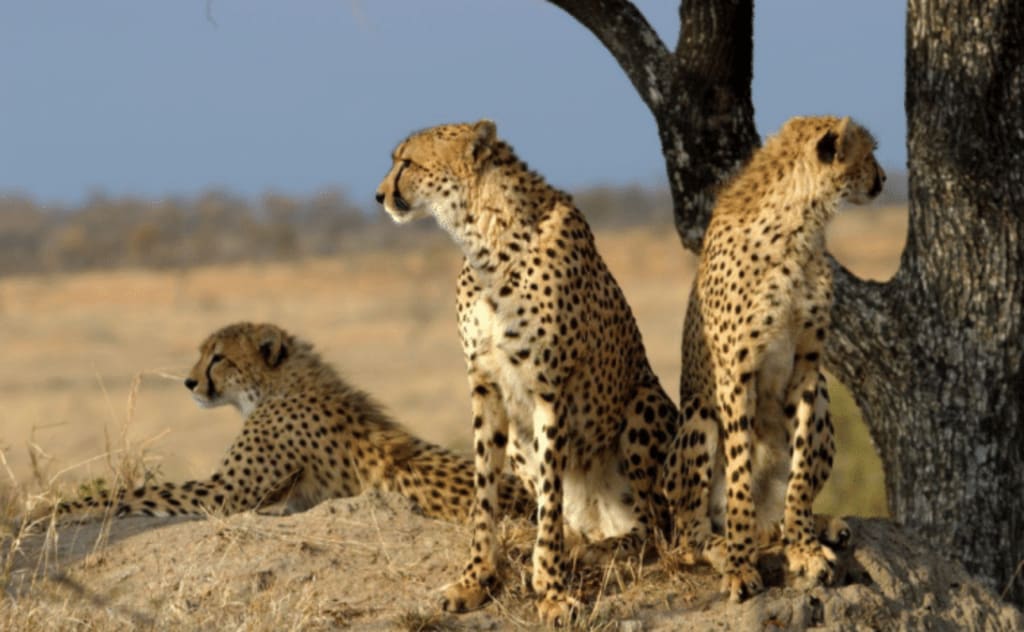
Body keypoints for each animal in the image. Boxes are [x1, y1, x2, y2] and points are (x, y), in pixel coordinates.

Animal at [25, 322, 534, 526]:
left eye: (218, 358)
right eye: (202, 353)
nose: (189, 382)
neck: (277, 386)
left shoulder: (227, 493)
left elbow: (138, 492)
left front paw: (62, 509)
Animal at [375, 120, 679, 625]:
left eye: (408, 162)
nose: (379, 195)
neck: (485, 237)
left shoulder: (548, 389)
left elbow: (551, 500)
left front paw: (552, 591)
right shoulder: (485, 386)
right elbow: (485, 492)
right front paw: (475, 579)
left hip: (644, 404)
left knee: (657, 526)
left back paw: (610, 547)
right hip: (522, 442)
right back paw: (577, 543)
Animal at [664, 115, 885, 601]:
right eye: (870, 152)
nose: (883, 179)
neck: (799, 229)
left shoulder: (807, 370)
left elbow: (799, 476)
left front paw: (804, 546)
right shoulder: (735, 376)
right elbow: (740, 479)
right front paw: (740, 565)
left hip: (823, 402)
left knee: (778, 508)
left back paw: (810, 525)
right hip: (699, 419)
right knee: (688, 533)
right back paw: (721, 546)